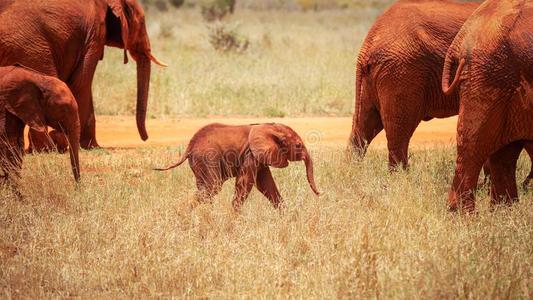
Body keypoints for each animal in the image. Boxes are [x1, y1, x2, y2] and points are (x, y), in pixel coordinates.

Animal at [0, 0, 165, 150]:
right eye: (142, 23)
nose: (146, 138)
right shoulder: (95, 33)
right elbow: (82, 84)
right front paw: (93, 147)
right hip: (30, 48)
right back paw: (48, 148)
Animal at [155, 123, 320, 210]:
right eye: (298, 145)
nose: (320, 194)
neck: (270, 126)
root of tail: (190, 145)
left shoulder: (260, 157)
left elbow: (266, 184)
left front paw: (286, 215)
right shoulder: (250, 155)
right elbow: (246, 183)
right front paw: (233, 217)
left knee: (205, 188)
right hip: (208, 157)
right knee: (212, 187)